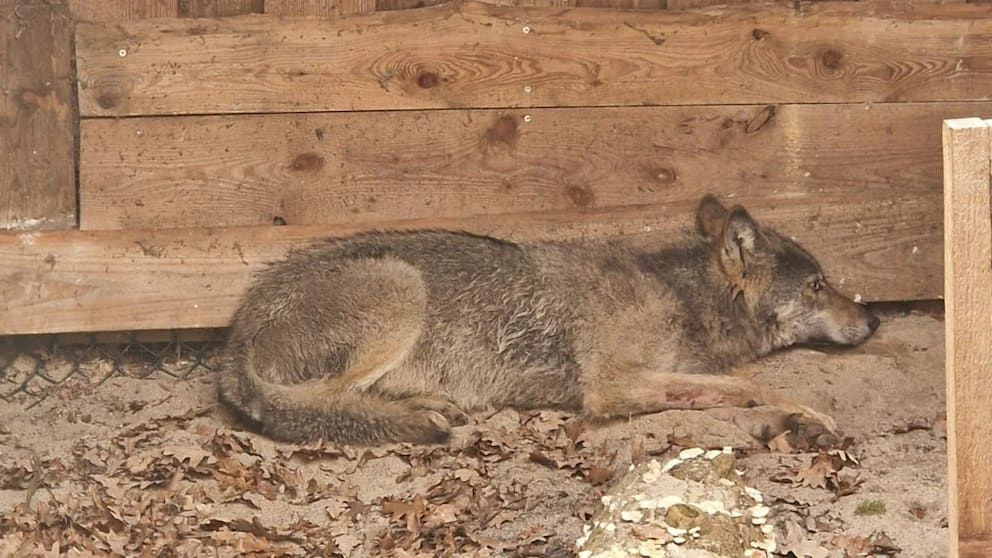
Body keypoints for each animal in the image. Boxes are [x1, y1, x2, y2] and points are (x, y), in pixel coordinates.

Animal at [216, 194, 880, 448]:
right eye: (819, 285)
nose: (874, 319)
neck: (679, 295)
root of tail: (234, 339)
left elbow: (731, 387)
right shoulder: (611, 386)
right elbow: (750, 384)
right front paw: (810, 417)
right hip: (400, 287)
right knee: (321, 404)